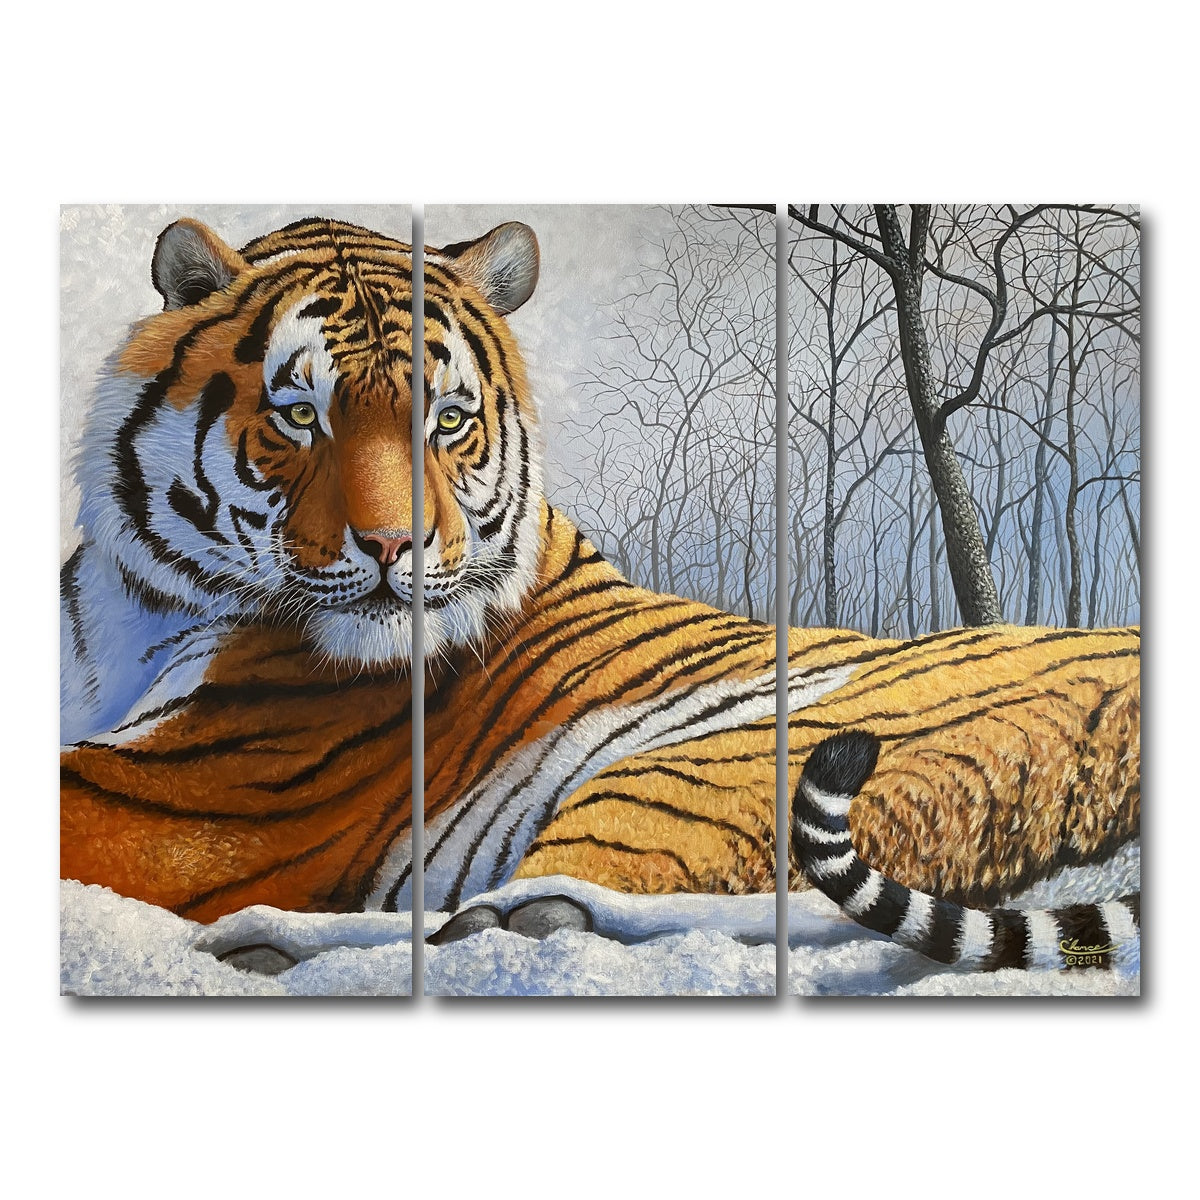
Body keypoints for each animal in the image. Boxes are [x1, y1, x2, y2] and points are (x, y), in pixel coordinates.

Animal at [60, 214, 1140, 979]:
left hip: (713, 764)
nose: (395, 545)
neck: (135, 603)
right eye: (298, 415)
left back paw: (267, 937)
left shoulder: (179, 791)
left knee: (538, 917)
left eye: (446, 421)